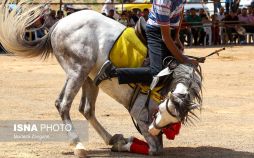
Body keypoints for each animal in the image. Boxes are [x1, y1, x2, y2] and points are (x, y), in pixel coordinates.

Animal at [0, 0, 202, 157]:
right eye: (160, 112)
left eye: (172, 122)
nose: (154, 128)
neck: (165, 82)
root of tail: (59, 23)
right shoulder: (139, 113)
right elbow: (154, 149)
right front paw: (126, 144)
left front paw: (121, 142)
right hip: (78, 71)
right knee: (63, 104)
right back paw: (79, 145)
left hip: (86, 77)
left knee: (86, 109)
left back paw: (110, 138)